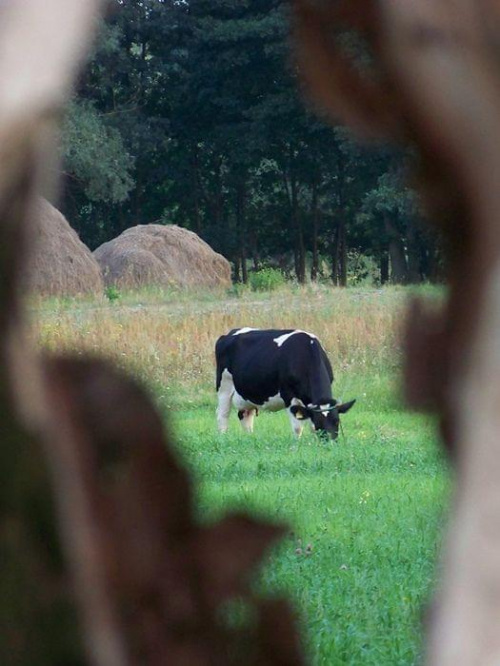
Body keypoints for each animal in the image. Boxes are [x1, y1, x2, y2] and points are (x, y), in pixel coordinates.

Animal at [215, 326, 356, 438]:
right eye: (319, 423)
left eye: (337, 421)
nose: (331, 443)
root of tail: (228, 334)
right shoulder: (289, 396)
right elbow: (297, 428)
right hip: (224, 388)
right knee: (222, 415)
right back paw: (223, 438)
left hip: (246, 395)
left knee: (245, 416)